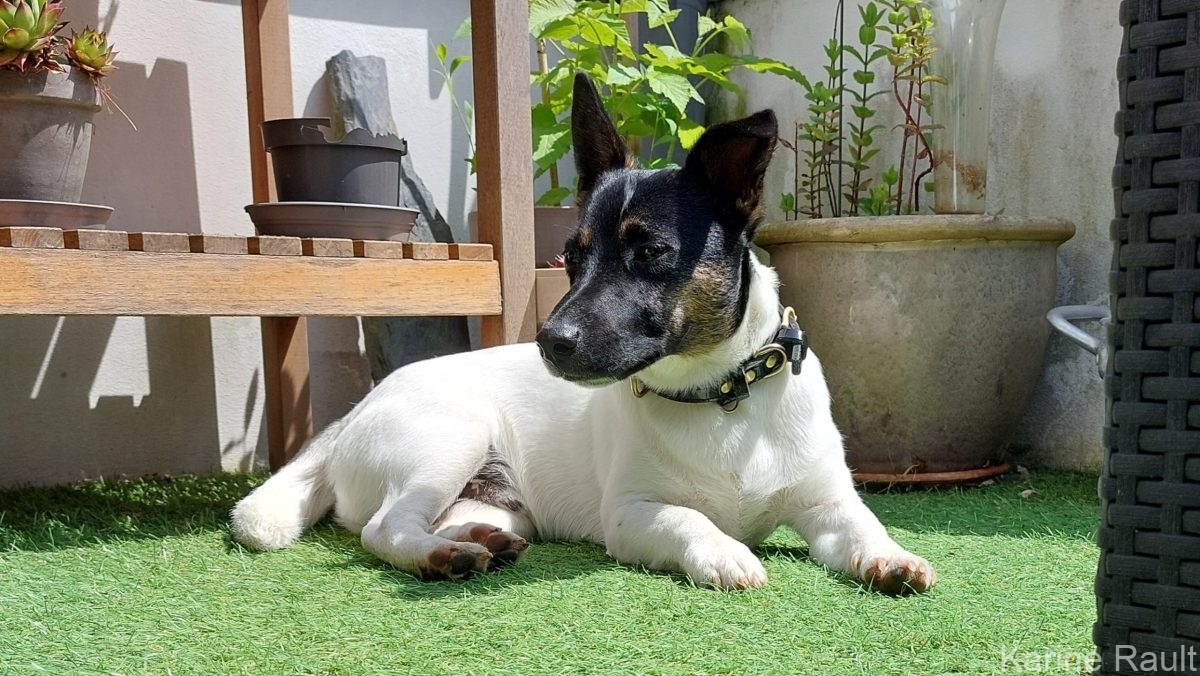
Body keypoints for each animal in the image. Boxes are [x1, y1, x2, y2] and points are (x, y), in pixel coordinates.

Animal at [230, 74, 936, 593]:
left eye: (649, 253)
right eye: (571, 256)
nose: (550, 340)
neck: (718, 395)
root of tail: (351, 416)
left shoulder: (828, 505)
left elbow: (865, 527)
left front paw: (891, 557)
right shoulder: (632, 514)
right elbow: (688, 519)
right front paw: (723, 552)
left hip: (494, 494)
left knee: (450, 518)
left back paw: (477, 542)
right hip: (447, 438)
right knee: (383, 528)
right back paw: (440, 556)